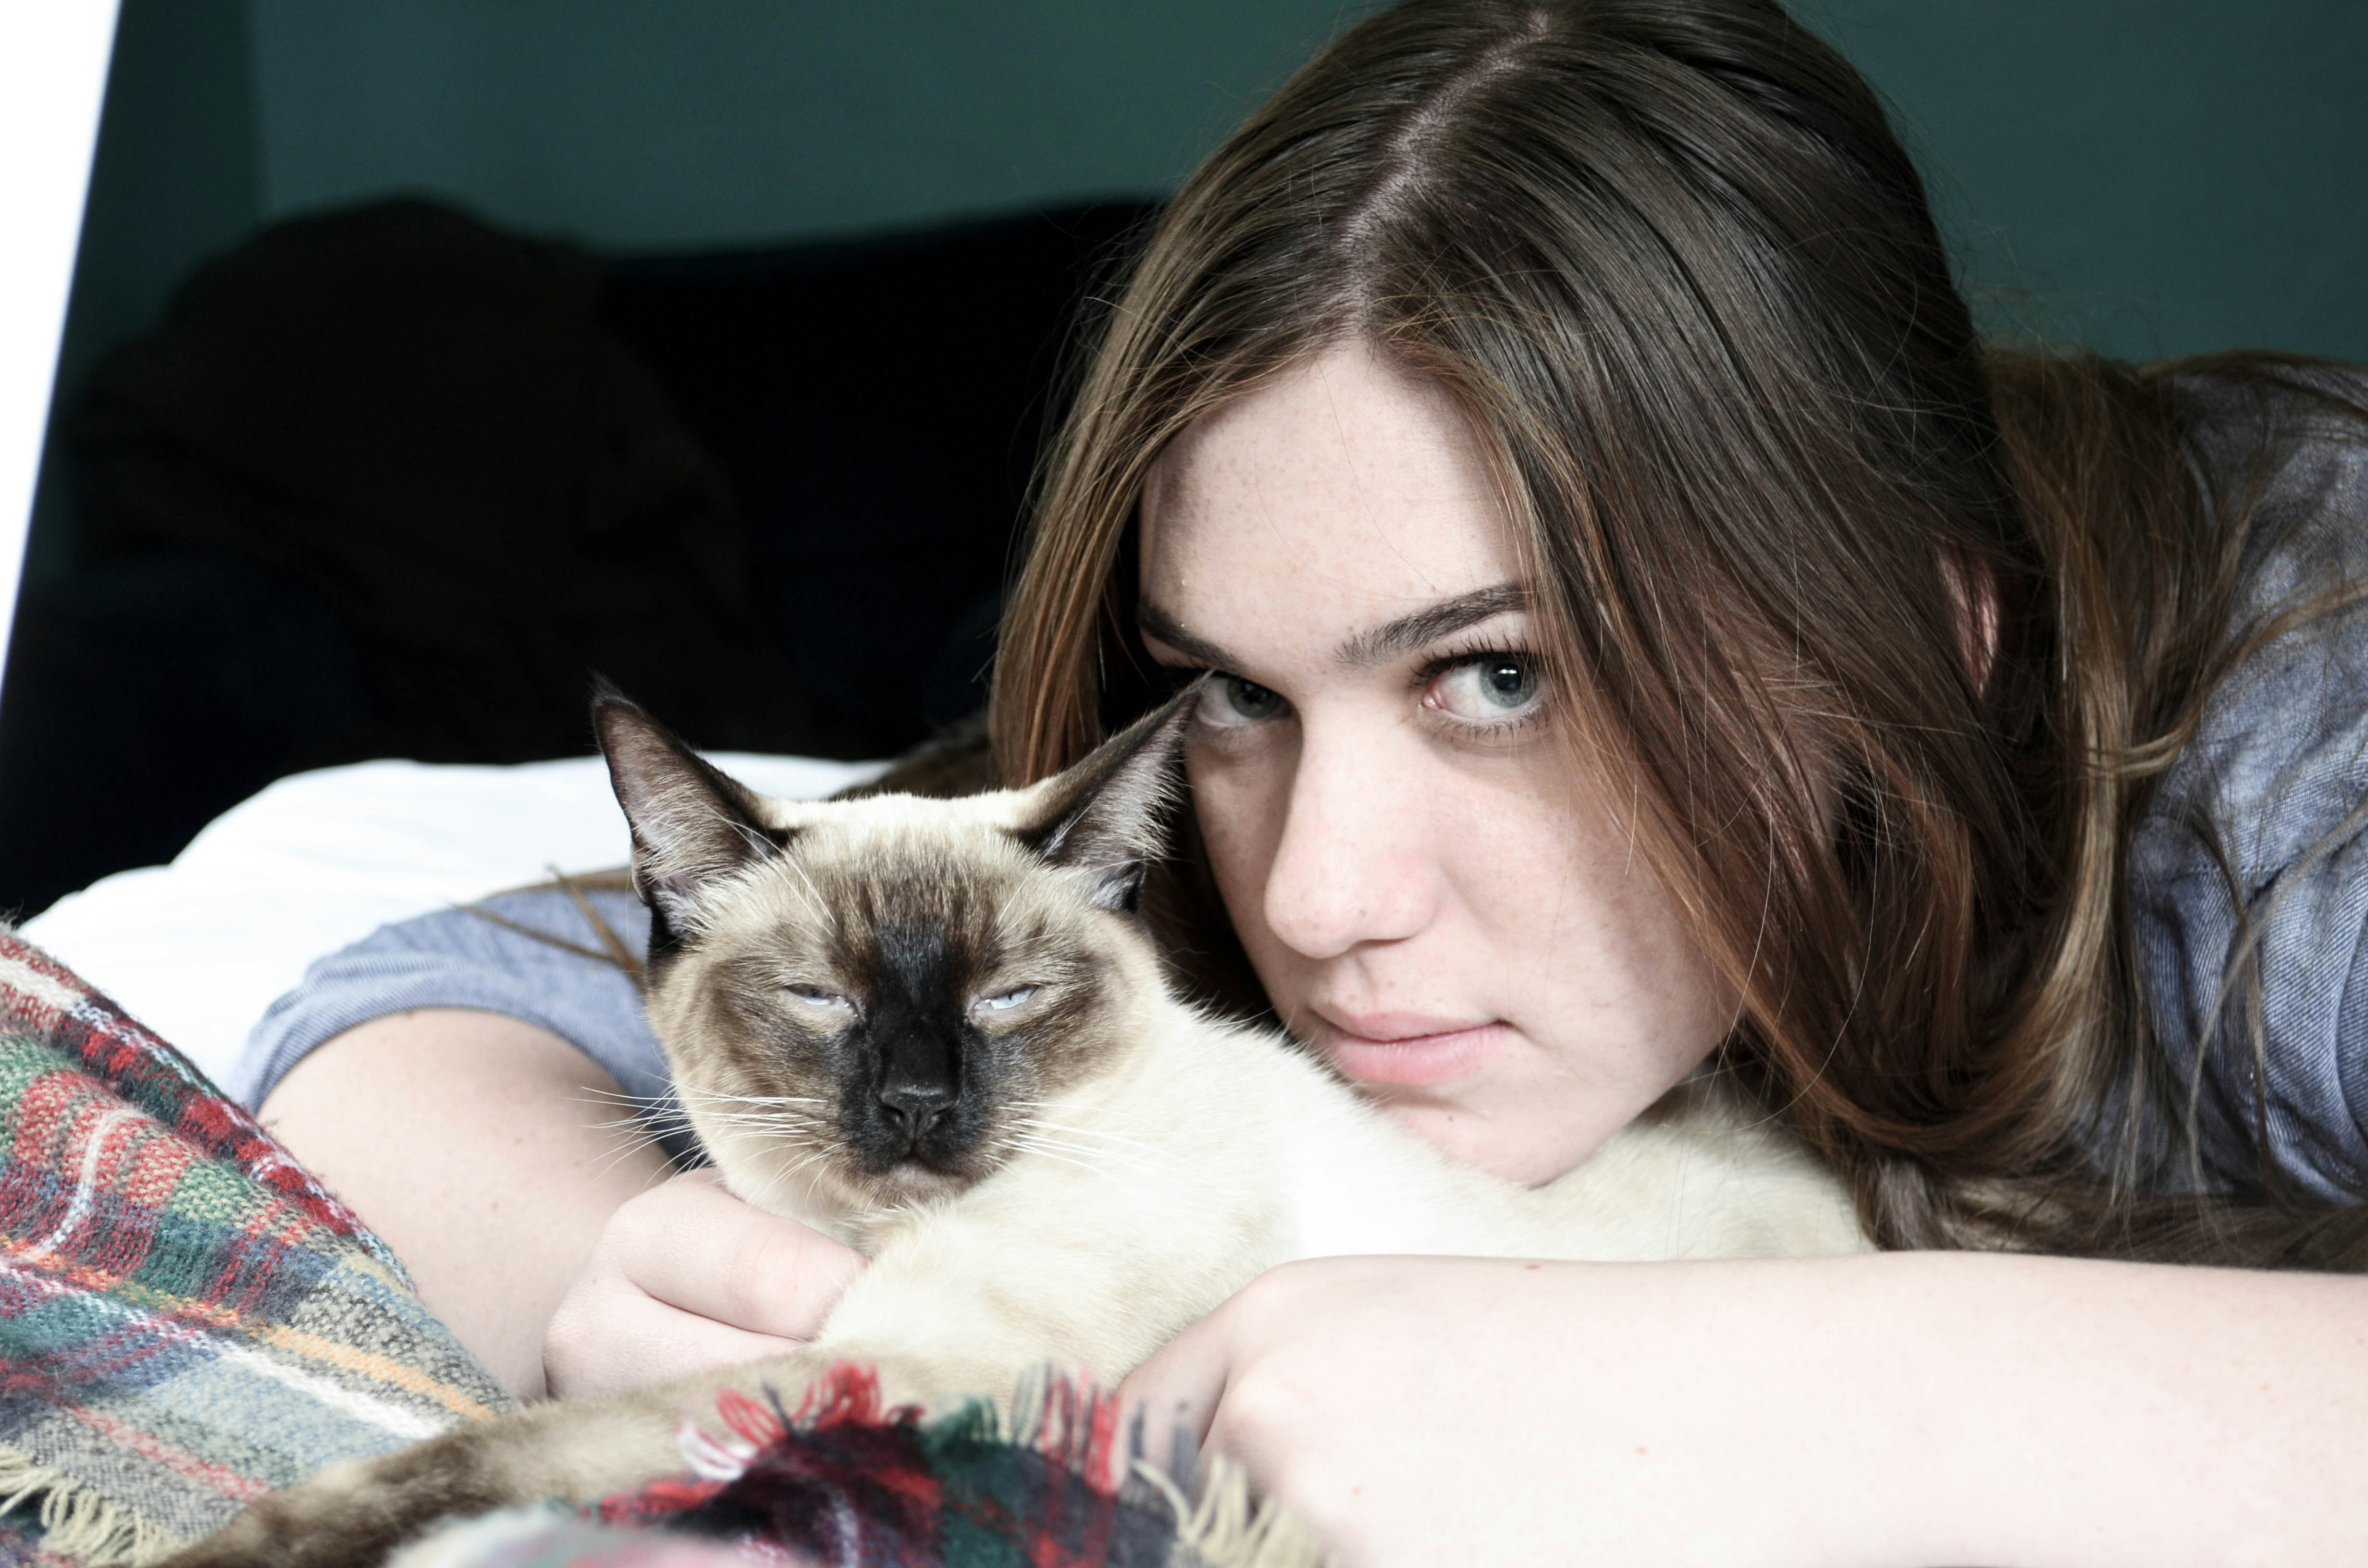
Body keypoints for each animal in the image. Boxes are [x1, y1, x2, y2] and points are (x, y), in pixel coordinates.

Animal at [166, 684, 1869, 1567]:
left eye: (1007, 998)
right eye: (819, 998)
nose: (919, 1102)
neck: (855, 1238)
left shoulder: (907, 1367)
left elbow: (486, 1453)